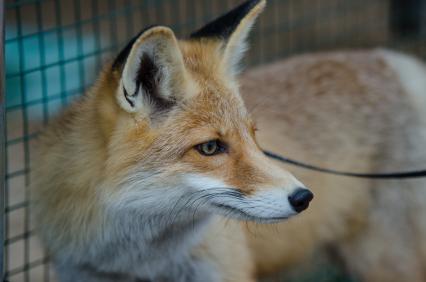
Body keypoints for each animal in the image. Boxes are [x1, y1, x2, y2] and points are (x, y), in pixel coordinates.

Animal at [32, 0, 426, 282]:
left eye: (253, 135)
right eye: (210, 147)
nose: (304, 197)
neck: (138, 265)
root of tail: (388, 58)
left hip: (384, 261)